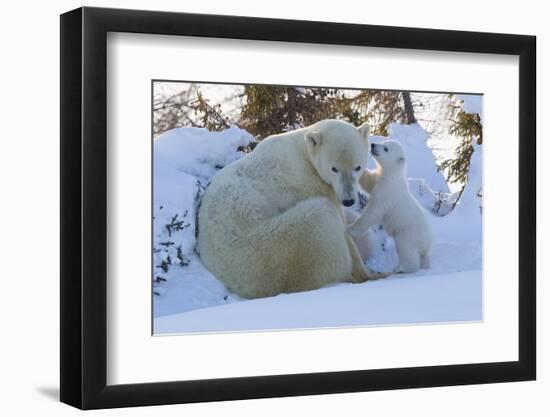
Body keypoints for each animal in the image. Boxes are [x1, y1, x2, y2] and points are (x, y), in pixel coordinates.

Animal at [198, 118, 388, 298]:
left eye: (357, 167)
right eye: (334, 168)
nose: (348, 200)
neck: (303, 151)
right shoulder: (310, 182)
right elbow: (341, 225)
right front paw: (370, 272)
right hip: (279, 243)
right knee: (322, 219)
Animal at [352, 140, 434, 272]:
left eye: (386, 148)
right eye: (383, 142)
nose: (373, 144)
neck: (392, 176)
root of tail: (427, 243)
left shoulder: (387, 192)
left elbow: (374, 212)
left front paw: (351, 229)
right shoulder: (379, 180)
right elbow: (369, 182)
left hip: (408, 232)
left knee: (406, 248)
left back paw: (402, 268)